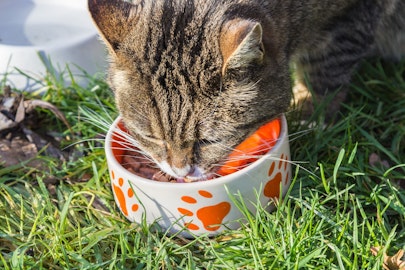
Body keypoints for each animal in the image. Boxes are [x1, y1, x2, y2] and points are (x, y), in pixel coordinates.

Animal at [89, 0, 404, 181]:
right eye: (151, 136)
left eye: (209, 140)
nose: (180, 172)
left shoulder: (351, 19)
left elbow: (325, 72)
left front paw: (312, 116)